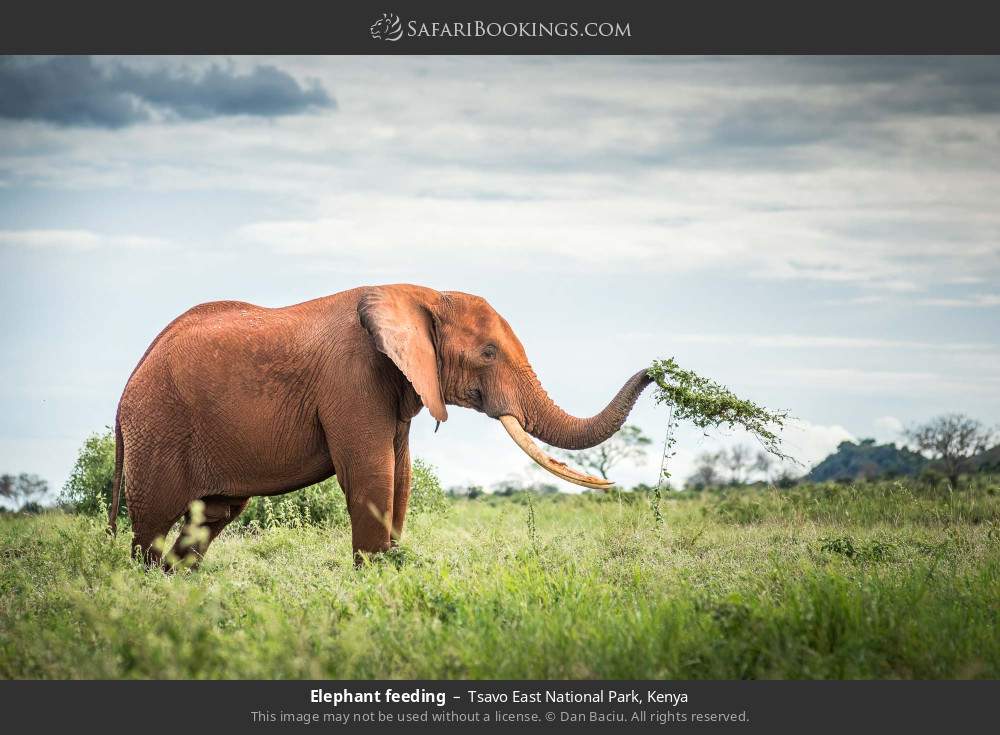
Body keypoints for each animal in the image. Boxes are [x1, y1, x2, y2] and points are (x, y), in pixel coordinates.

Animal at [109, 284, 652, 568]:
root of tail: (130, 379)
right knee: (153, 525)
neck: (424, 295)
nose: (655, 370)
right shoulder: (352, 379)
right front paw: (372, 577)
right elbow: (373, 475)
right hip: (158, 427)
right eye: (488, 353)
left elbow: (401, 476)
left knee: (210, 517)